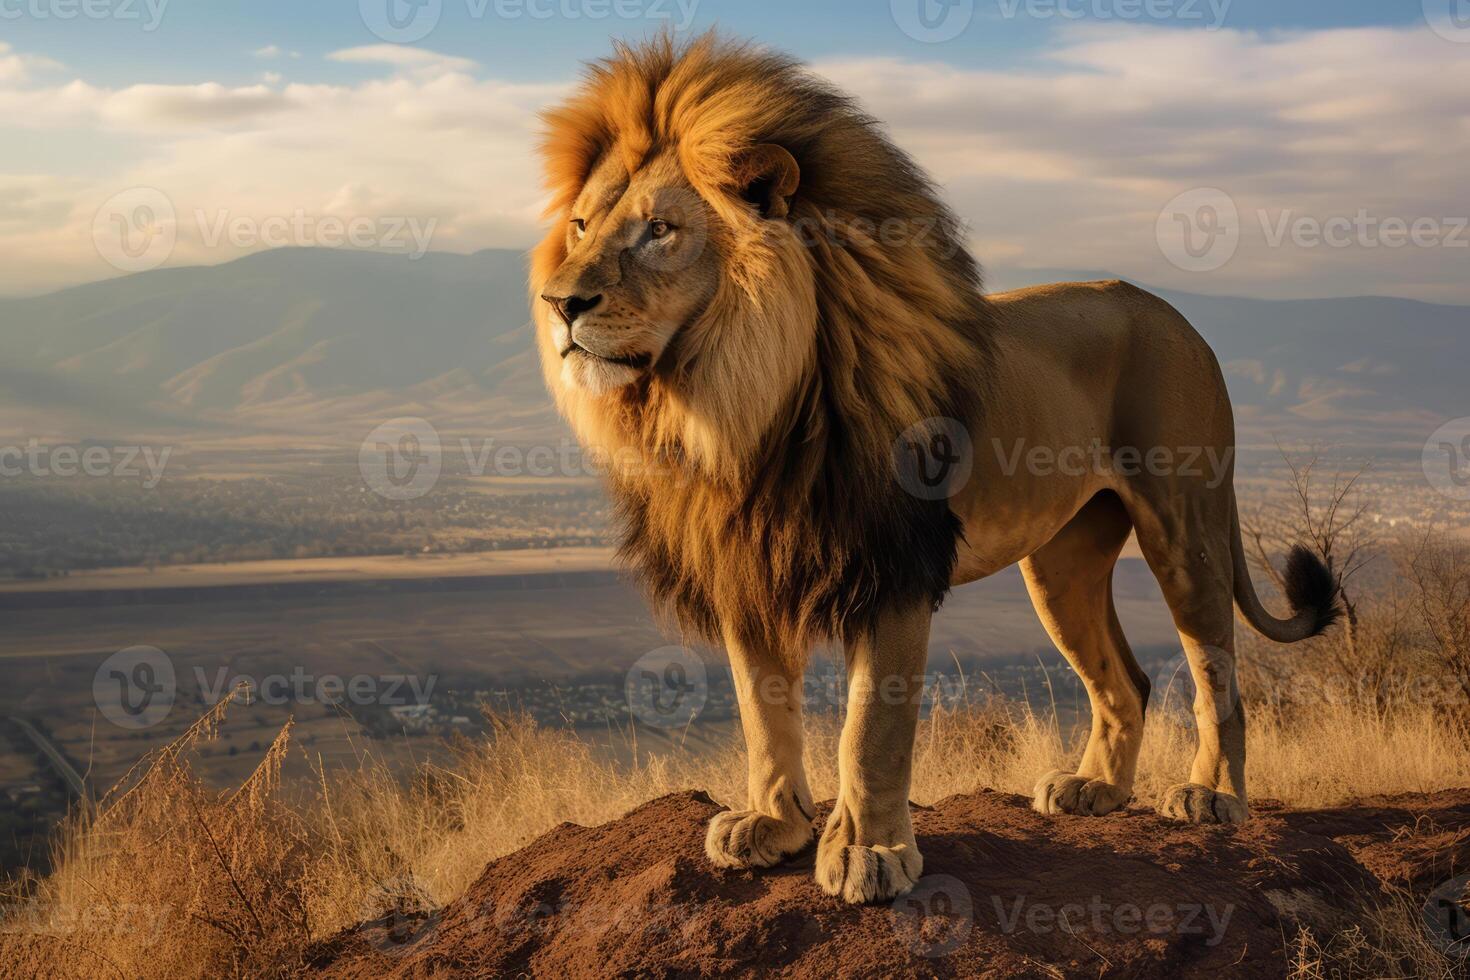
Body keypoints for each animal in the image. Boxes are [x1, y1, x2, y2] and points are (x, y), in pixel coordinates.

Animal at [529, 32, 1346, 905]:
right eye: (579, 225)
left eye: (659, 230)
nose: (560, 304)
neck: (733, 406)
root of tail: (1178, 315)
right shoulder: (747, 571)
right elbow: (764, 716)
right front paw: (775, 826)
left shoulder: (893, 566)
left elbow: (869, 731)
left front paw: (869, 851)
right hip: (1061, 562)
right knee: (1126, 680)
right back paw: (1096, 790)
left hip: (1183, 527)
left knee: (1216, 674)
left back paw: (1213, 795)